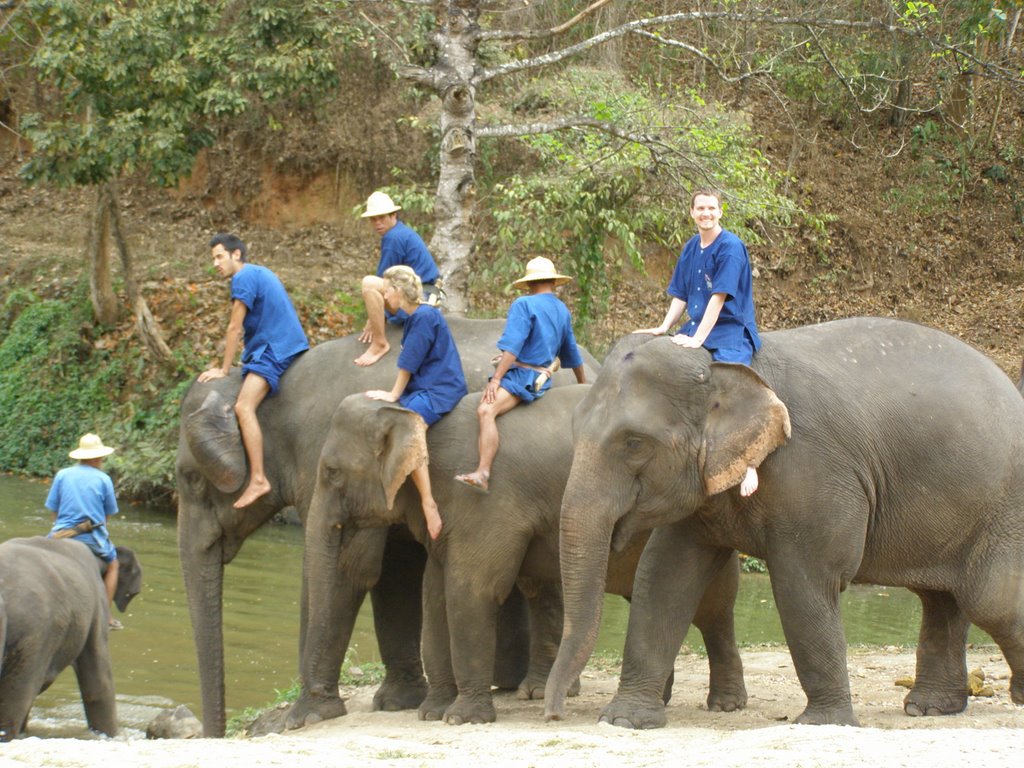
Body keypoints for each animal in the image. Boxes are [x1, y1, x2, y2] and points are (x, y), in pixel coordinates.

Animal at [175, 319, 598, 741]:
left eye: (190, 479)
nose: (216, 734)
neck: (262, 390)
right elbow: (395, 574)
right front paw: (397, 703)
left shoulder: (319, 458)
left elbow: (349, 569)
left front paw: (304, 717)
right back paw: (512, 685)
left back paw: (540, 689)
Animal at [286, 387, 745, 729]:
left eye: (331, 473)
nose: (317, 712)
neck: (418, 414)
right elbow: (434, 594)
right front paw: (433, 713)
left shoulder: (484, 501)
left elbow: (471, 591)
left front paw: (463, 718)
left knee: (713, 610)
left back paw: (725, 705)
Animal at [548, 317, 1024, 729]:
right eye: (573, 425)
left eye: (634, 443)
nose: (554, 713)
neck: (726, 366)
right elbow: (663, 577)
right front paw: (624, 720)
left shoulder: (814, 471)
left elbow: (804, 583)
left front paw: (824, 724)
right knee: (943, 598)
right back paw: (929, 708)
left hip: (1004, 508)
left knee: (990, 599)